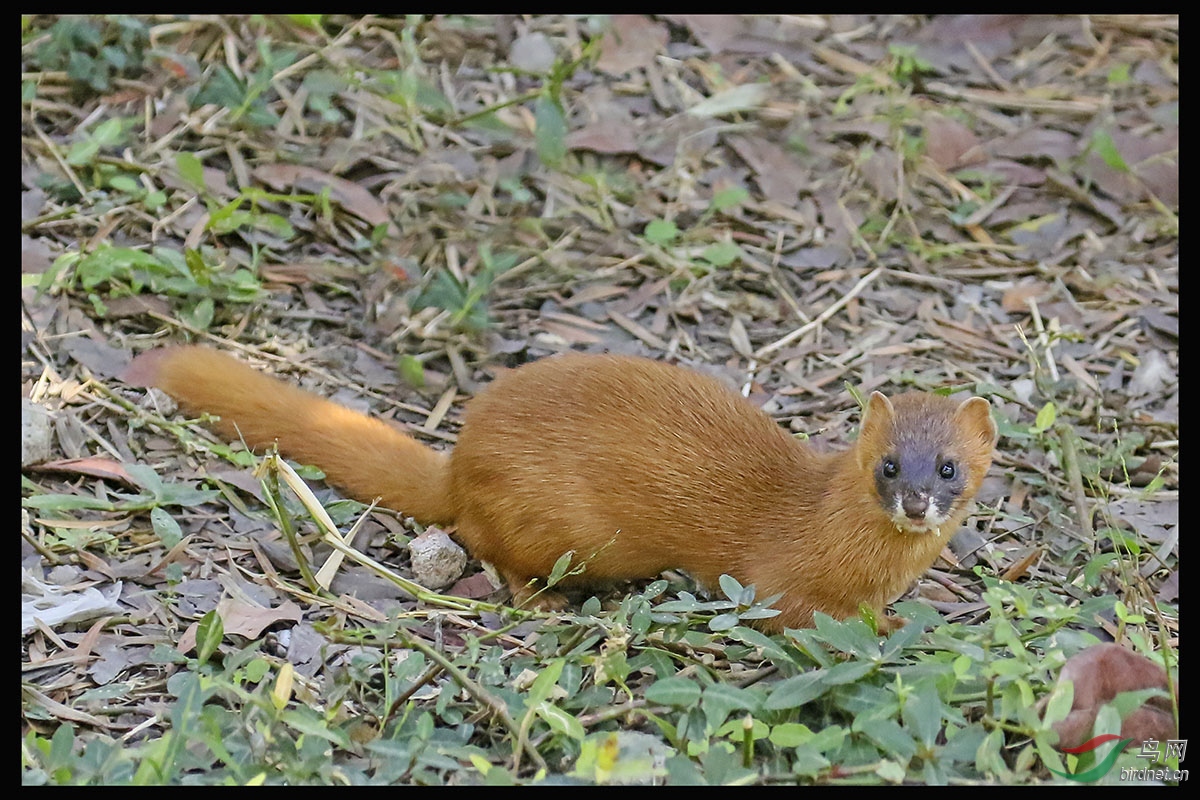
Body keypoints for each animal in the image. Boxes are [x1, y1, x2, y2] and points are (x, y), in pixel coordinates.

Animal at [126, 347, 998, 633]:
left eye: (949, 467)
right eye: (890, 464)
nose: (916, 500)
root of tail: (461, 456)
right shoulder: (778, 581)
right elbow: (798, 613)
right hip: (546, 521)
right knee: (487, 543)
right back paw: (542, 600)